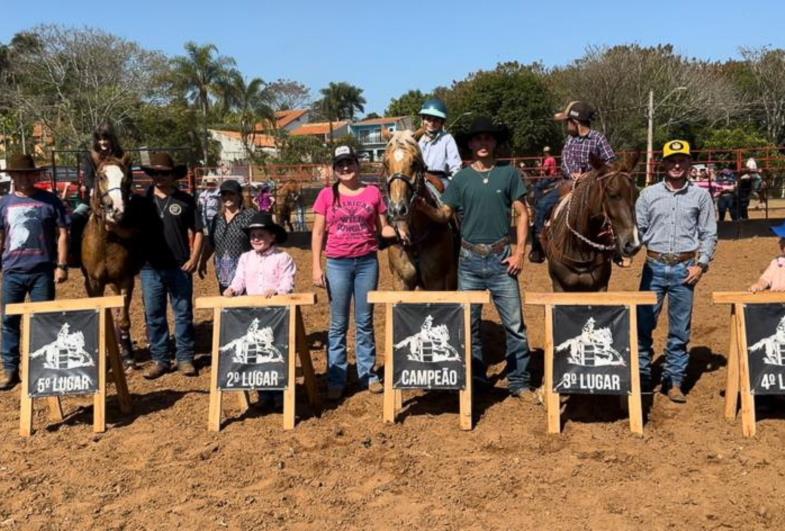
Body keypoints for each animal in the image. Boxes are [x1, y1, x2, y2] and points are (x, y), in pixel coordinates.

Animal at [81, 153, 145, 362]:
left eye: (125, 180)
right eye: (101, 176)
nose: (116, 210)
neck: (107, 242)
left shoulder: (125, 279)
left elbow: (123, 320)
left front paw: (128, 356)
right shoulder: (95, 282)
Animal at [544, 152, 640, 294]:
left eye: (636, 195)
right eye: (612, 194)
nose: (632, 245)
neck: (581, 249)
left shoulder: (601, 286)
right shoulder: (558, 286)